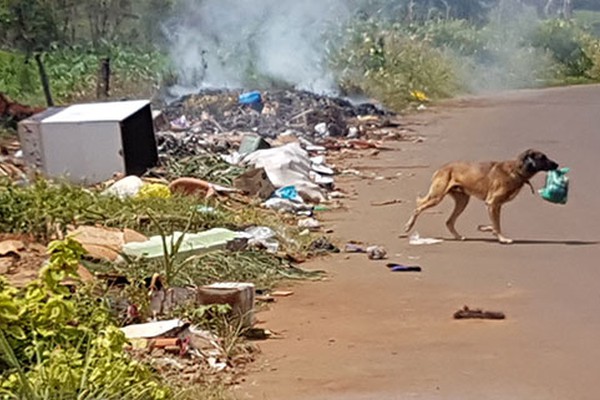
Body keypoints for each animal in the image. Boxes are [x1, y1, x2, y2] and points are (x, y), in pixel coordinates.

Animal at [404, 149, 556, 244]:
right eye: (542, 157)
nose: (557, 164)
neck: (517, 170)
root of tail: (442, 168)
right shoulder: (492, 203)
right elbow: (496, 225)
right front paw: (502, 238)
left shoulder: (495, 206)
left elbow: (495, 224)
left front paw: (487, 229)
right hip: (437, 197)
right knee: (418, 208)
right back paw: (407, 227)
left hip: (462, 201)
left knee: (449, 221)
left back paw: (458, 237)